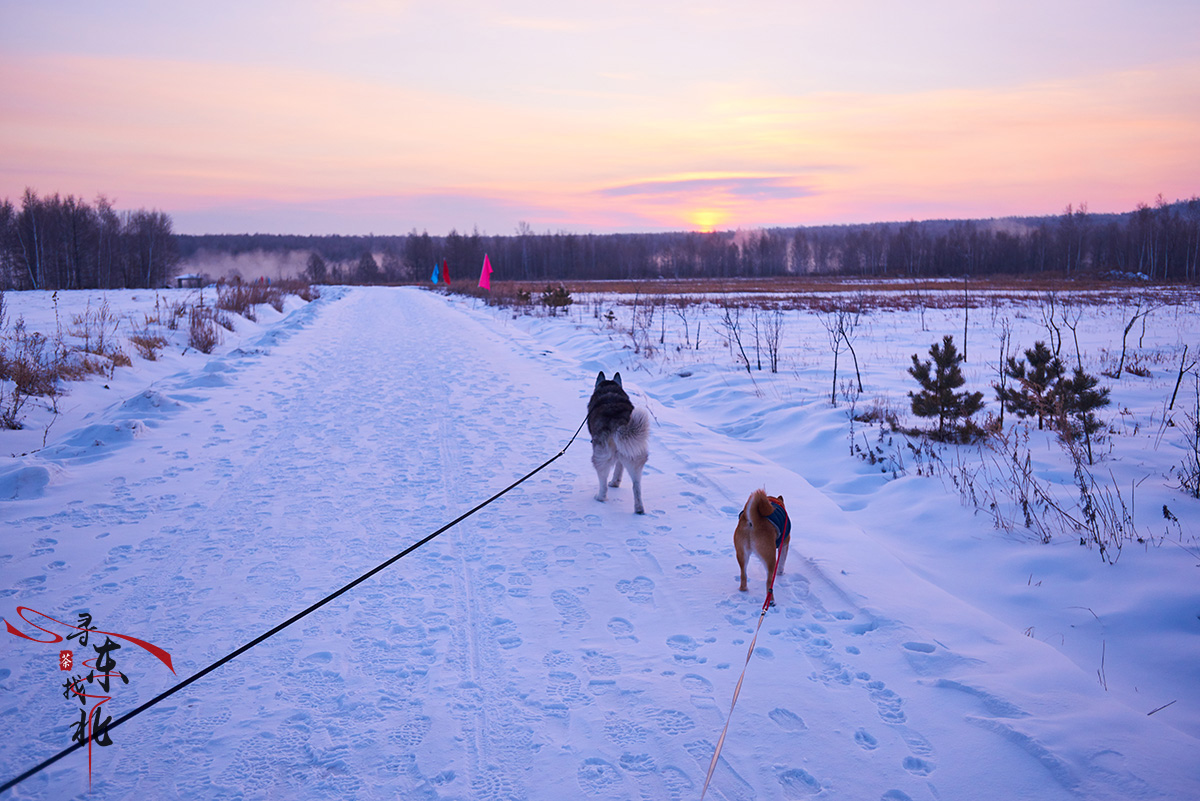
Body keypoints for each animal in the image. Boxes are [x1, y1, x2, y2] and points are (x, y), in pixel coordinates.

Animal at [588, 369, 652, 513]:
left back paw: (599, 497)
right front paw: (615, 483)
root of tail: (619, 422)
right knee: (636, 486)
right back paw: (639, 509)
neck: (610, 391)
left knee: (603, 482)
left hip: (600, 457)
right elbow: (619, 468)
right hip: (635, 456)